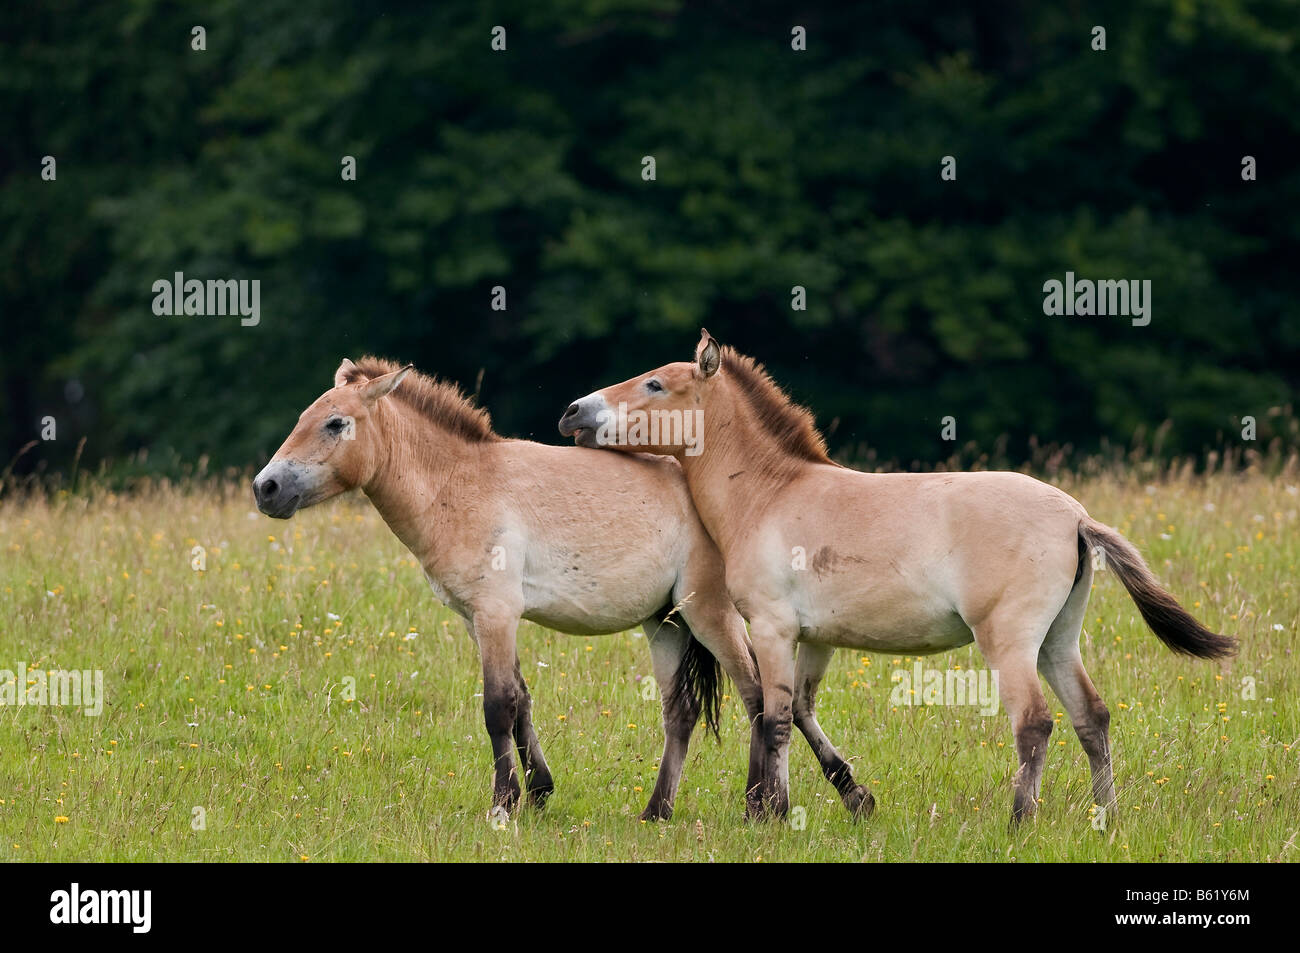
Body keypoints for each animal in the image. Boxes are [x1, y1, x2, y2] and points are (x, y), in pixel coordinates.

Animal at [252, 356, 759, 816]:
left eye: (336, 423)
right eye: (303, 418)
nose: (266, 488)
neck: (460, 486)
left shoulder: (496, 613)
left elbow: (498, 707)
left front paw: (503, 804)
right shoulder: (477, 620)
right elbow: (522, 703)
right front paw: (538, 792)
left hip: (709, 614)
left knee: (756, 693)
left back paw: (761, 804)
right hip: (664, 622)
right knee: (681, 711)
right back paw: (658, 811)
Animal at [556, 330, 1227, 821]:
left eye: (655, 383)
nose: (572, 412)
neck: (770, 494)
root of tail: (1077, 517)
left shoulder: (772, 629)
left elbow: (773, 719)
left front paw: (770, 815)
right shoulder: (816, 639)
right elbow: (802, 711)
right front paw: (854, 798)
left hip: (1010, 642)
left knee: (1035, 722)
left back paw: (1021, 819)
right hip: (1058, 641)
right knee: (1093, 717)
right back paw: (1104, 818)